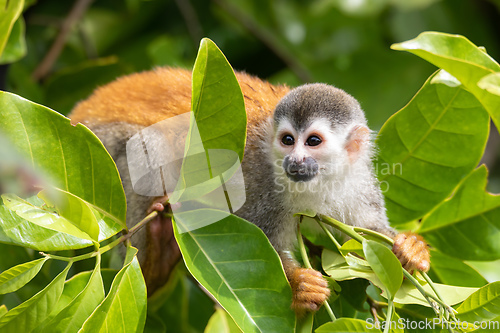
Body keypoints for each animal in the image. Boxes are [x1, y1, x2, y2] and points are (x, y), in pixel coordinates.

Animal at [69, 67, 430, 312]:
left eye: (313, 141)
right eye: (287, 140)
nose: (294, 160)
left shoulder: (359, 182)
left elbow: (367, 233)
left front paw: (410, 248)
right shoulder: (260, 182)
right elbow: (259, 242)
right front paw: (299, 285)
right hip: (104, 143)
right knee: (145, 149)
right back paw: (154, 264)